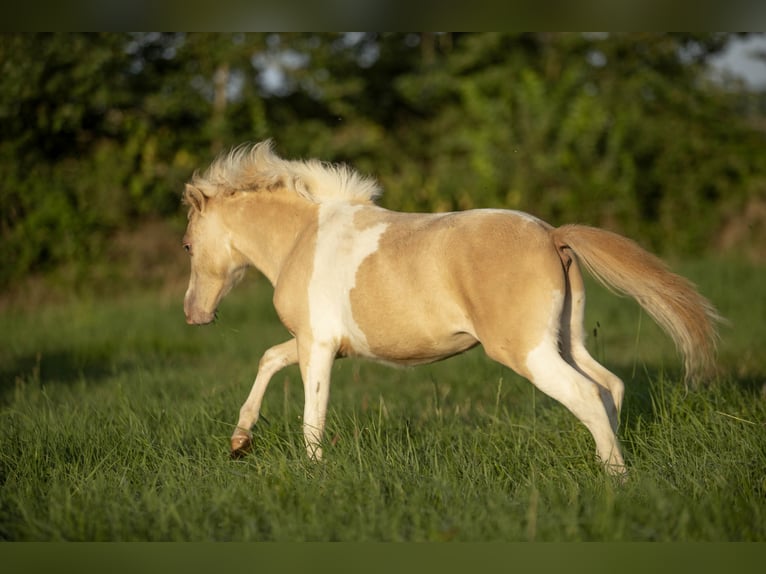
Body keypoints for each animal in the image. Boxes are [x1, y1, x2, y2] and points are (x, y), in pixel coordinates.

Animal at [183, 140, 724, 476]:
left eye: (188, 245)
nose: (194, 315)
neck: (303, 239)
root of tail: (552, 234)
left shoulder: (317, 346)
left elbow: (311, 417)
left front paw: (314, 473)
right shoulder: (318, 344)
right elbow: (269, 359)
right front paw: (239, 442)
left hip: (526, 352)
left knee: (588, 395)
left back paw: (616, 481)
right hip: (566, 340)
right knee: (610, 386)